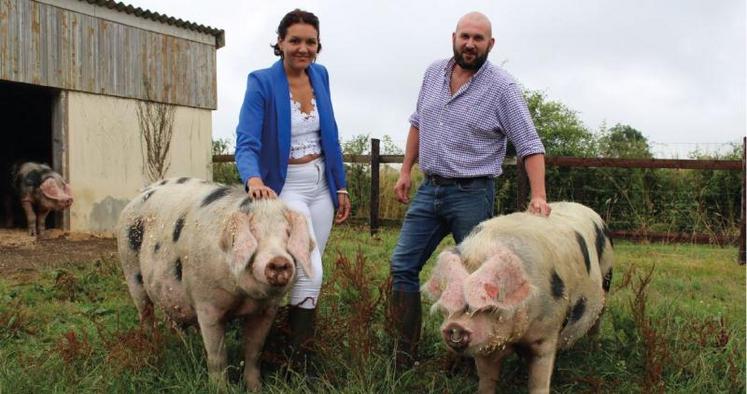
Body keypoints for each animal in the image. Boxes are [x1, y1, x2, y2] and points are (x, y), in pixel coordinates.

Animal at [117, 179, 316, 390]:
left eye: (288, 233)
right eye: (253, 232)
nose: (279, 261)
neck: (244, 296)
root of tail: (139, 195)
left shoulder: (267, 310)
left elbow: (254, 351)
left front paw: (256, 388)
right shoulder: (207, 305)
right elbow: (217, 356)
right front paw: (221, 388)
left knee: (174, 321)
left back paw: (186, 347)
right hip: (131, 270)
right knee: (146, 314)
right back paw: (153, 349)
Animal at [424, 202, 616, 392]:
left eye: (488, 304)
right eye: (449, 303)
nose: (455, 326)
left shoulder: (547, 332)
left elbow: (539, 379)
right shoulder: (486, 347)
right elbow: (487, 379)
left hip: (606, 279)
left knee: (597, 321)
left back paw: (593, 351)